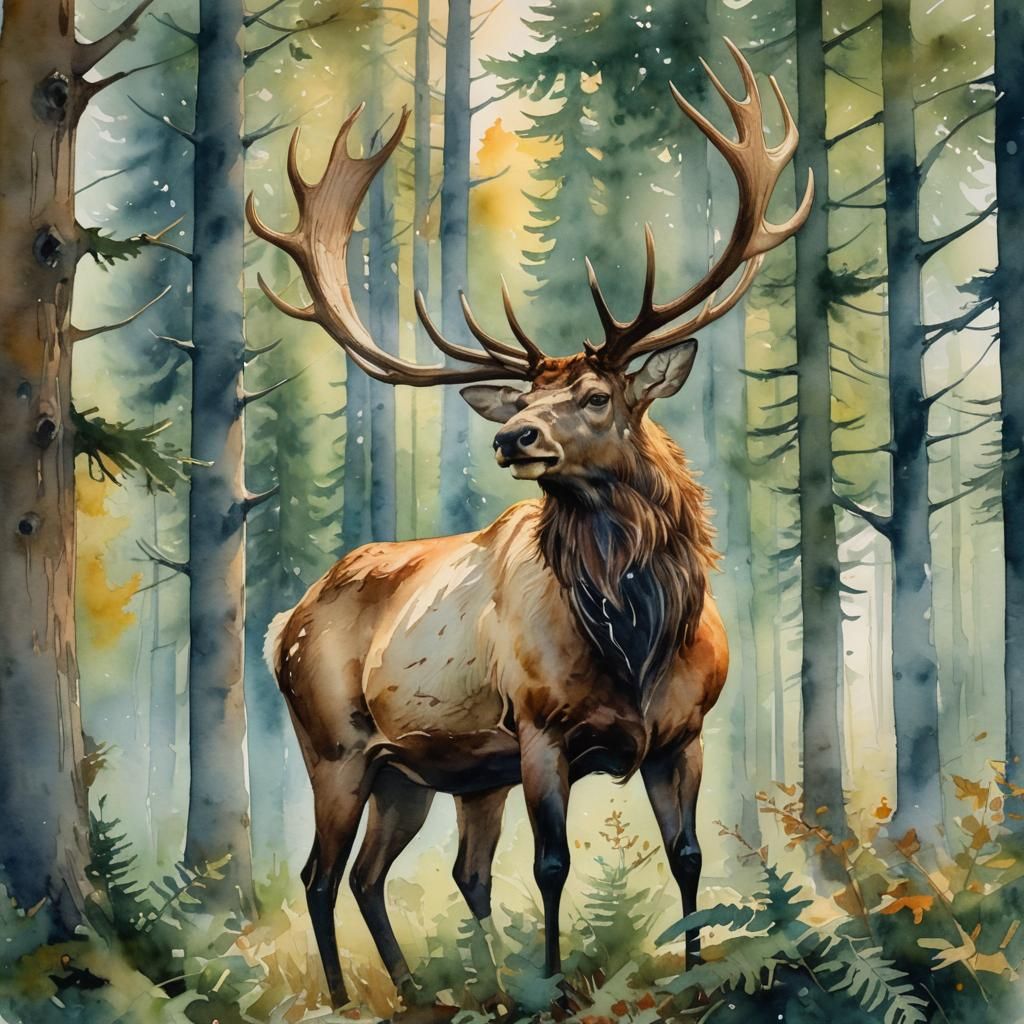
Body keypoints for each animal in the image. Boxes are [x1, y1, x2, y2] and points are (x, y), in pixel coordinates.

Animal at [247, 40, 811, 1011]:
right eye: (524, 402)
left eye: (594, 395)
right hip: (337, 745)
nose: (514, 436)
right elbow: (551, 867)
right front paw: (551, 988)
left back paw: (427, 990)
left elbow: (688, 858)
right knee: (321, 876)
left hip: (428, 772)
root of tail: (285, 620)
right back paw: (349, 998)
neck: (636, 638)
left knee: (387, 875)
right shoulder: (542, 732)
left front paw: (696, 977)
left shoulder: (685, 734)